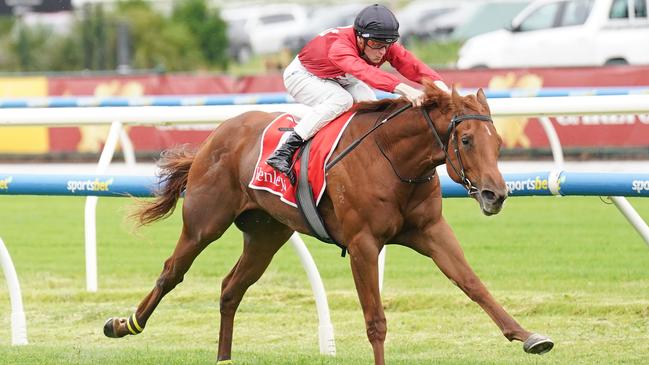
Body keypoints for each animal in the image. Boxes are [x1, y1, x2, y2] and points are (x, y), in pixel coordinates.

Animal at [102, 82, 552, 362]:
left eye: (499, 142)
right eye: (466, 140)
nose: (496, 194)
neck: (393, 159)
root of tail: (214, 136)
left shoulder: (431, 232)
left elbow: (474, 285)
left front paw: (529, 336)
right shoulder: (363, 243)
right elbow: (375, 320)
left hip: (266, 234)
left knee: (231, 289)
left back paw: (223, 357)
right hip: (203, 223)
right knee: (171, 272)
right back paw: (124, 324)